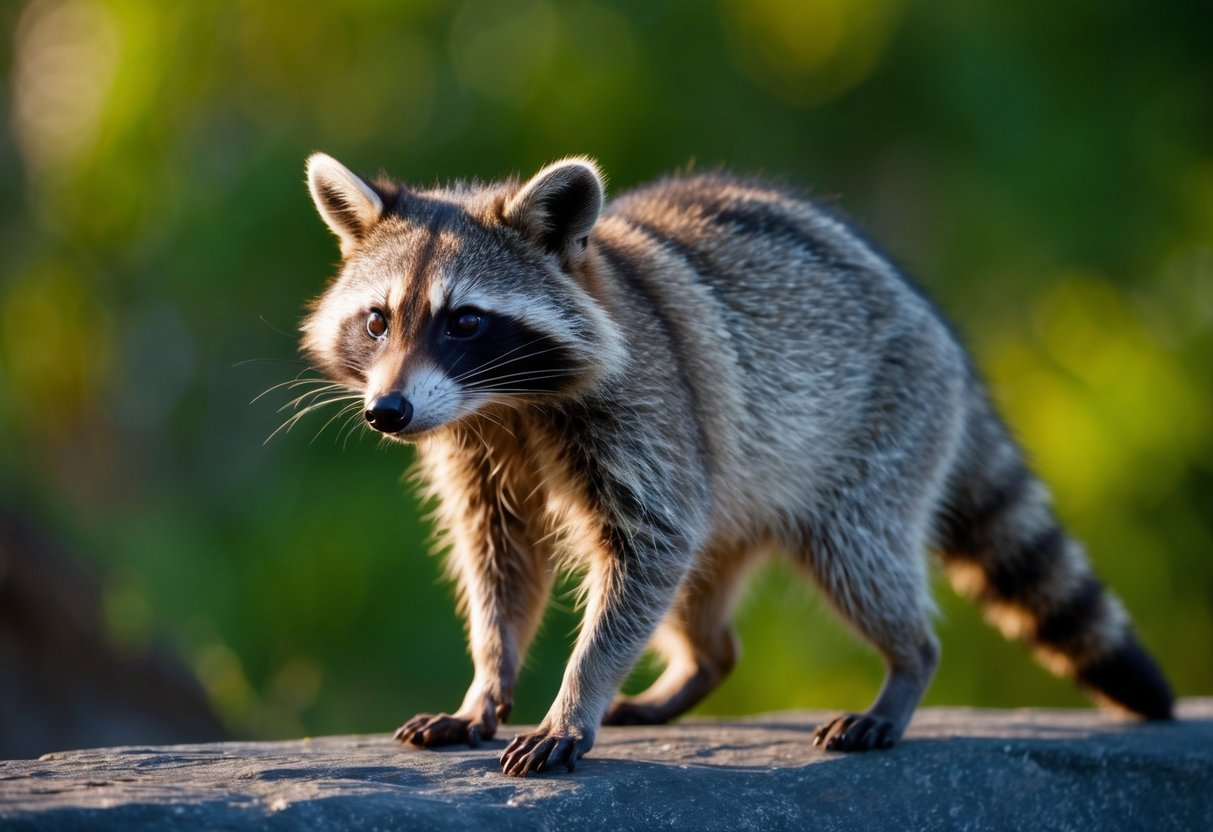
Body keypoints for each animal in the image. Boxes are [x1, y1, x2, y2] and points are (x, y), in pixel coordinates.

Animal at [299, 152, 1174, 776]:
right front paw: (488, 682)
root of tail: (943, 338)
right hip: (738, 490)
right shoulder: (477, 454)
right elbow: (499, 564)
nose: (387, 412)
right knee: (700, 601)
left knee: (856, 557)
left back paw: (905, 666)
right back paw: (695, 667)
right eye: (377, 321)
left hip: (883, 429)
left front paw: (575, 695)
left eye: (465, 321)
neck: (503, 404)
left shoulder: (647, 414)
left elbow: (644, 552)